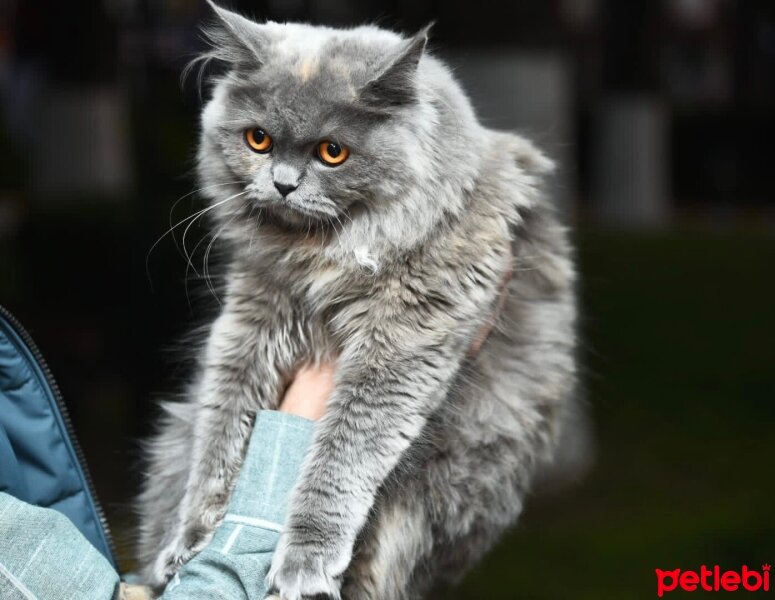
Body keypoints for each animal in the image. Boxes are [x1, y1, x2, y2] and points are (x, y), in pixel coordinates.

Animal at [138, 2, 576, 596]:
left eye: (332, 152)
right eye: (258, 140)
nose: (282, 184)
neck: (321, 257)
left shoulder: (403, 344)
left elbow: (341, 454)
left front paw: (304, 561)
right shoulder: (249, 324)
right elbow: (219, 438)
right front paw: (187, 544)